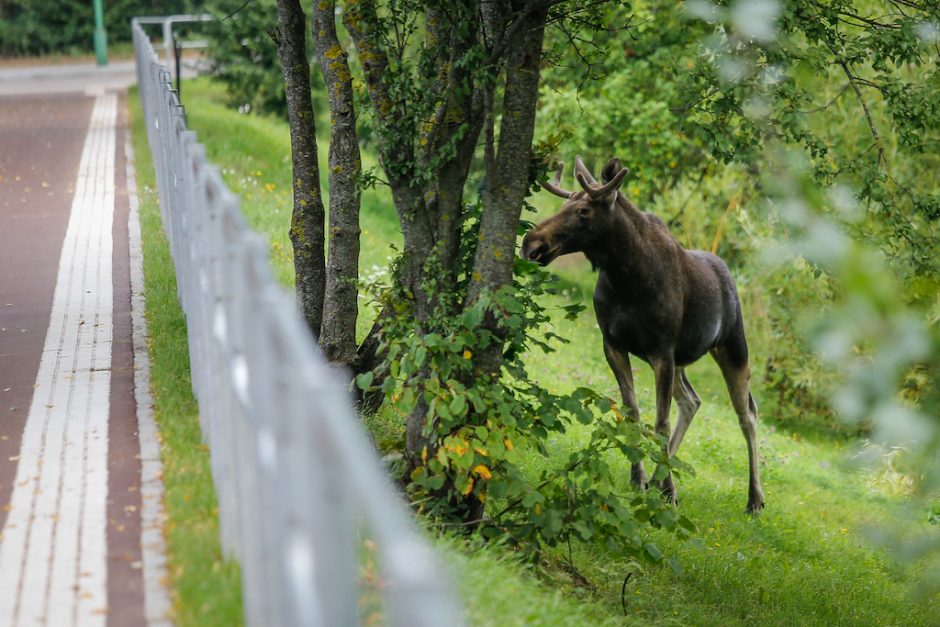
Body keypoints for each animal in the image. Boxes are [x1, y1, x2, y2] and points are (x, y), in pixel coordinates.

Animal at [520, 158, 764, 516]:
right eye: (565, 204)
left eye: (583, 211)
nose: (532, 243)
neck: (625, 275)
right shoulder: (614, 344)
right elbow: (633, 413)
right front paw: (641, 478)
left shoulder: (662, 350)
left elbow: (660, 422)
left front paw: (669, 491)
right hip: (682, 360)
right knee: (692, 400)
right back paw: (662, 473)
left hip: (733, 347)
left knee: (746, 414)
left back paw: (754, 499)